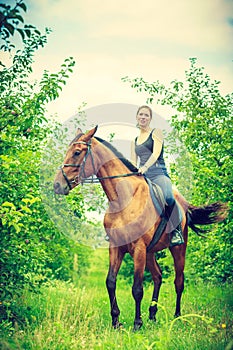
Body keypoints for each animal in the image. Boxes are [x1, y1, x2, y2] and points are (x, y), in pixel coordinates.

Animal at [53, 126, 228, 330]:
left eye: (77, 152)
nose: (57, 185)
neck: (124, 198)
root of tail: (183, 205)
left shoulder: (138, 249)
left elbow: (137, 288)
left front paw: (137, 323)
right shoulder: (116, 248)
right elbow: (110, 282)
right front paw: (116, 321)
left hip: (178, 249)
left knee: (179, 281)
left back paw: (176, 316)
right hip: (150, 252)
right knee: (158, 276)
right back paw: (152, 314)